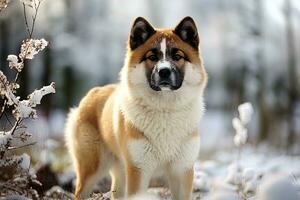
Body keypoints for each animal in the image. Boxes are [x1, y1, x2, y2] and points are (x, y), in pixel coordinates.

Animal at [64, 16, 207, 199]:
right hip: (91, 169)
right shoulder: (139, 170)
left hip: (121, 172)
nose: (164, 71)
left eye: (177, 56)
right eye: (152, 57)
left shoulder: (182, 170)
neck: (165, 109)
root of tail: (93, 92)